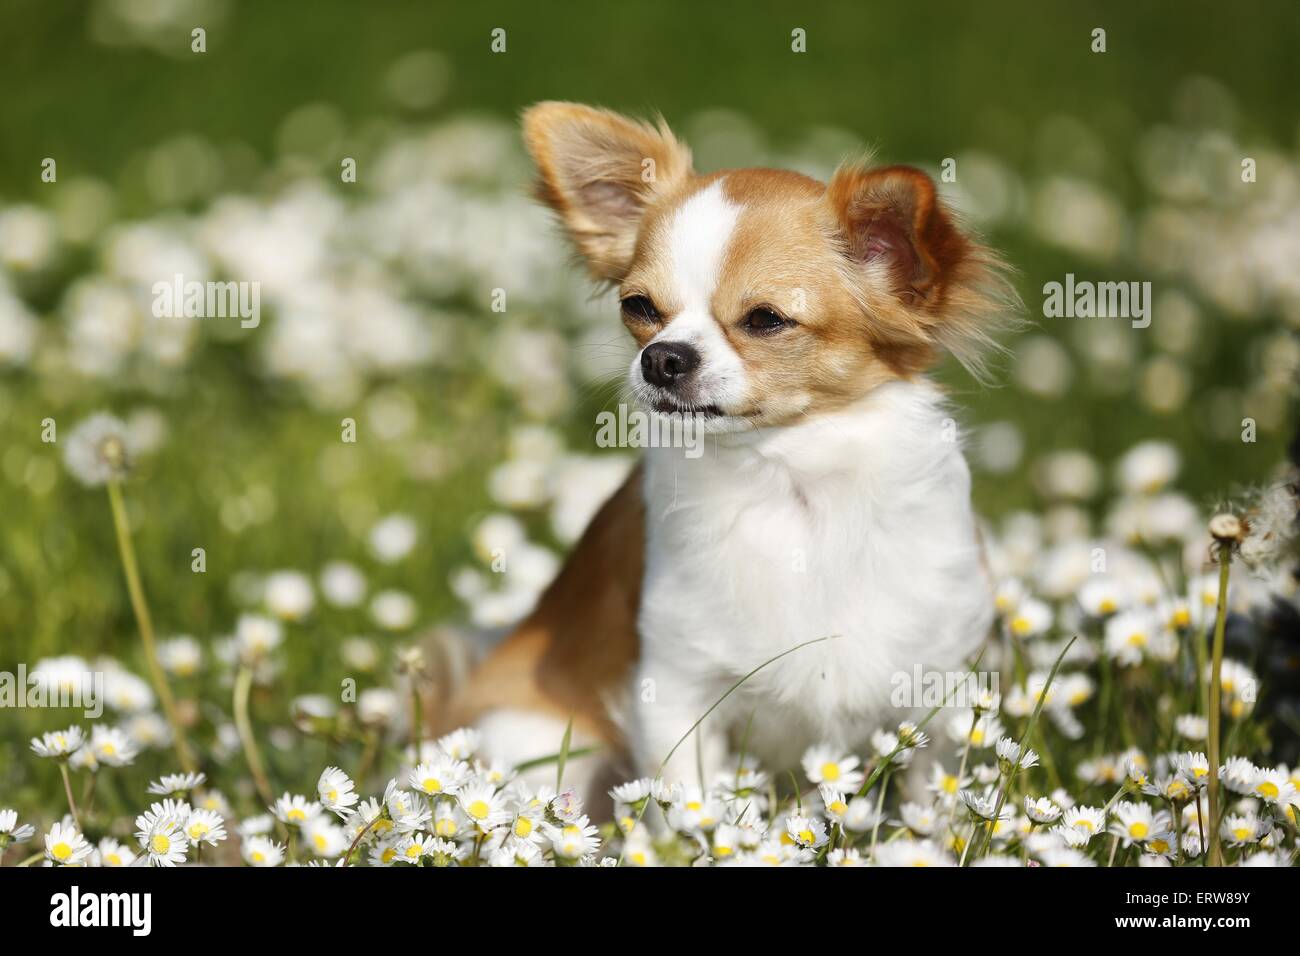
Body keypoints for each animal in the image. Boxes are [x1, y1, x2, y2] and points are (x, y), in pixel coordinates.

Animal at [452, 102, 1008, 801]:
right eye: (639, 307)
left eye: (766, 319)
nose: (661, 357)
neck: (791, 482)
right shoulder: (673, 692)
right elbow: (685, 807)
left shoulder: (941, 684)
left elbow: (935, 807)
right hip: (534, 737)